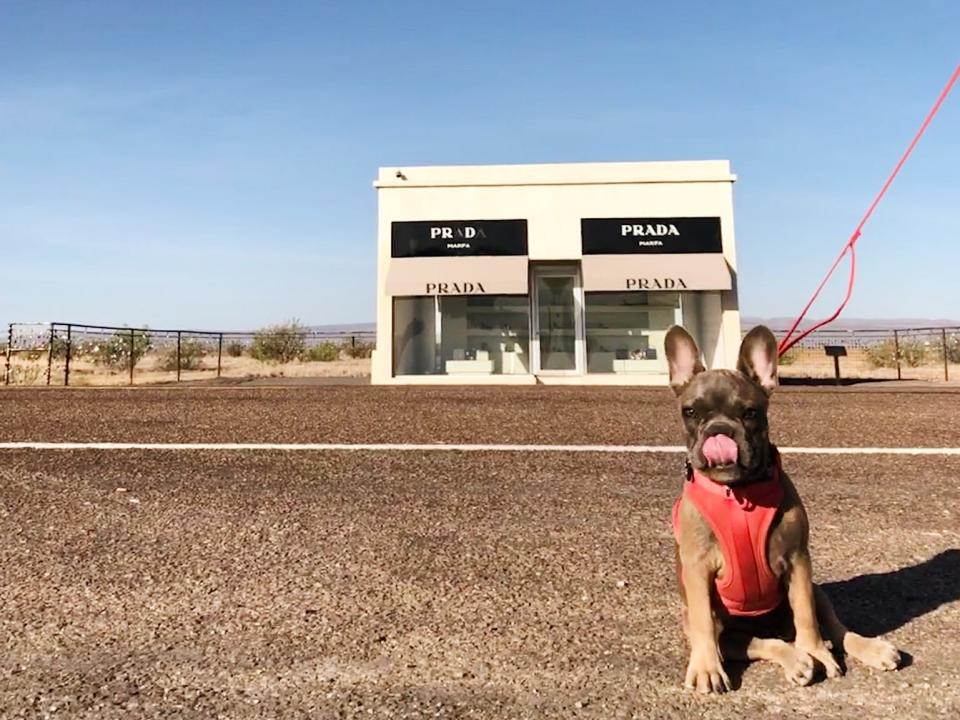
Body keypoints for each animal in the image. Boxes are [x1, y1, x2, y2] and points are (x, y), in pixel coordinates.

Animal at [668, 324, 900, 692]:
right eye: (690, 412)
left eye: (750, 413)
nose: (719, 430)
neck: (740, 494)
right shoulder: (697, 567)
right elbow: (705, 621)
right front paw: (706, 668)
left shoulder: (798, 560)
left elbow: (805, 614)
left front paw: (817, 651)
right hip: (724, 630)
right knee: (760, 642)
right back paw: (797, 661)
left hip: (819, 591)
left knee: (834, 628)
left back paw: (863, 649)